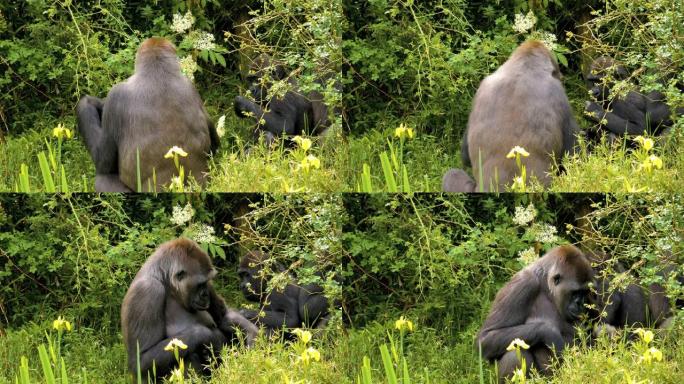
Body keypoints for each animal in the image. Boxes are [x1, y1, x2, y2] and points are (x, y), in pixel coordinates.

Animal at [76, 37, 218, 192]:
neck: (158, 72)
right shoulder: (191, 88)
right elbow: (215, 145)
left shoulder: (116, 96)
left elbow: (102, 161)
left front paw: (86, 103)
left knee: (102, 179)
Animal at [120, 238, 256, 380]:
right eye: (200, 284)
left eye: (207, 282)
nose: (205, 295)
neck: (165, 280)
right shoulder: (147, 290)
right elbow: (141, 361)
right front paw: (208, 335)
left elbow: (223, 315)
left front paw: (253, 334)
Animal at [446, 39, 580, 192]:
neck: (525, 67)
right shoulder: (558, 94)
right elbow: (574, 156)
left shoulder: (482, 88)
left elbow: (465, 155)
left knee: (450, 175)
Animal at [476, 246, 592, 380]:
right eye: (575, 292)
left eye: (584, 292)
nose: (580, 304)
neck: (546, 286)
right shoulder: (523, 283)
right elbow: (485, 338)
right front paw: (551, 334)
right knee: (515, 352)